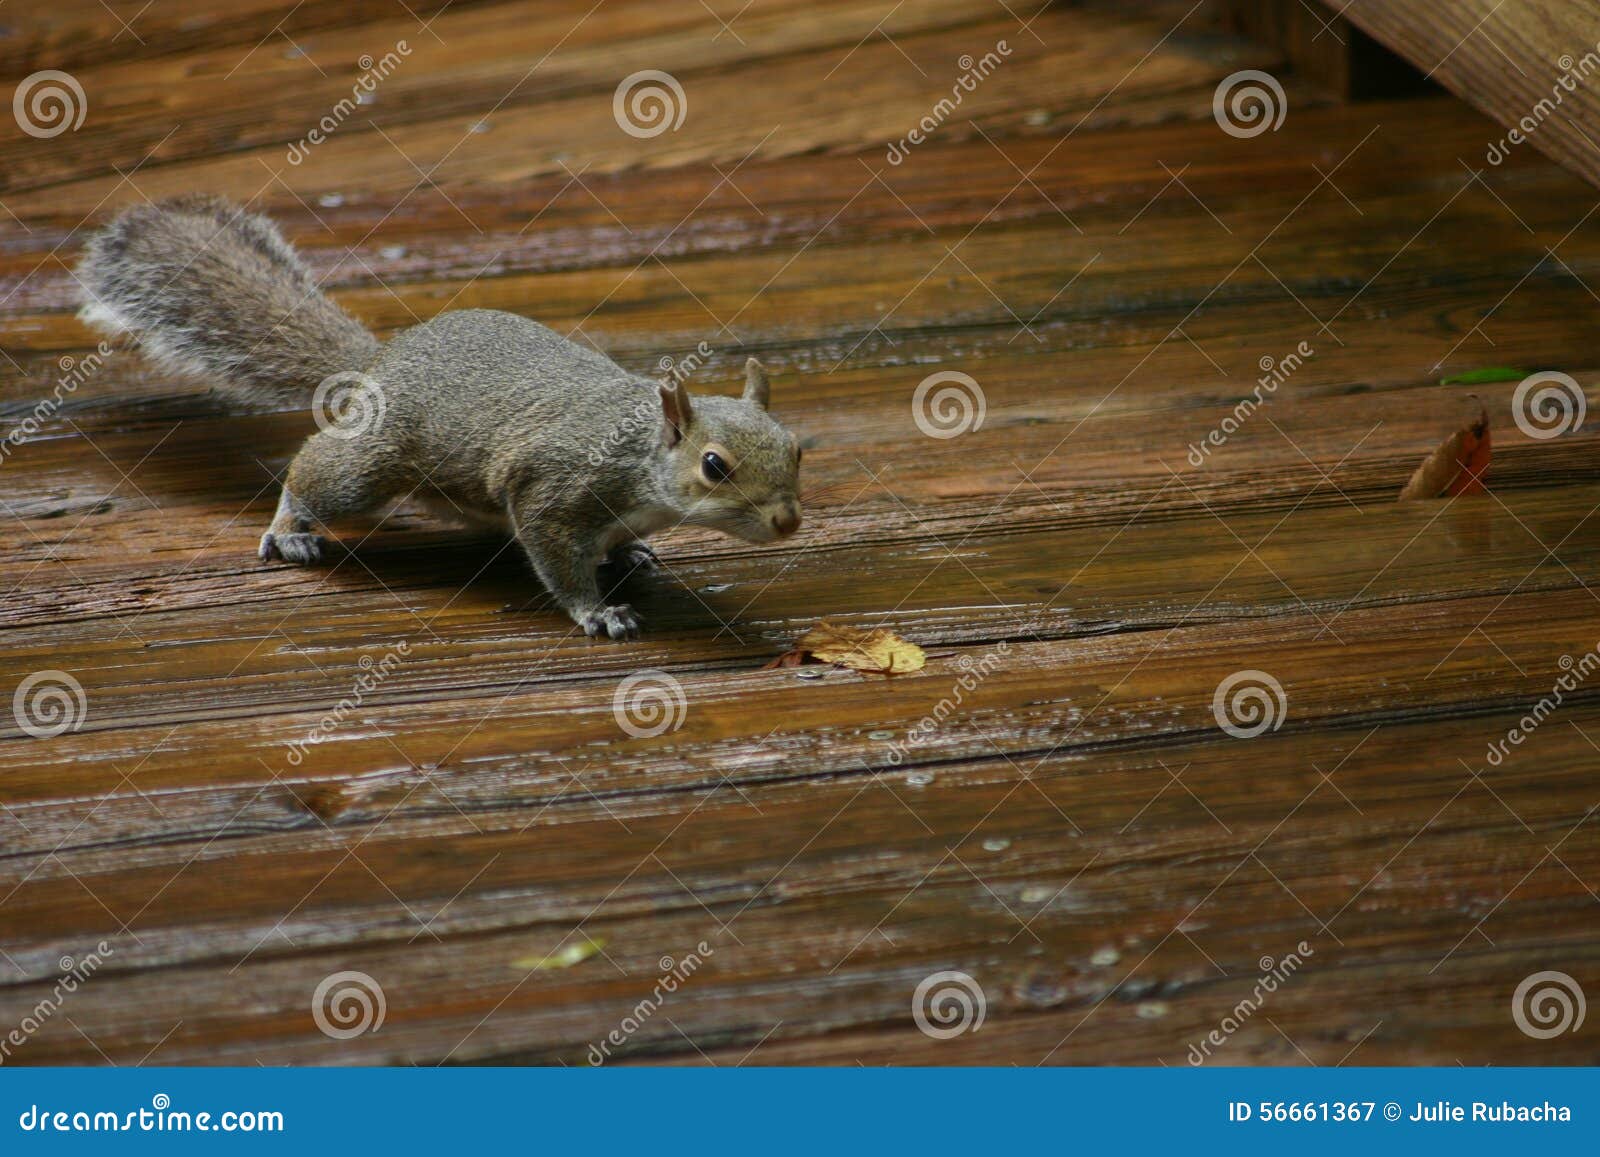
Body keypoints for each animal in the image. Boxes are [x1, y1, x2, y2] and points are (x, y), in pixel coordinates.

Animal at [75, 195, 803, 640]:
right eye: (714, 466)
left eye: (797, 448)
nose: (788, 521)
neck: (640, 457)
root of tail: (377, 365)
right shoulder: (555, 489)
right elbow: (558, 560)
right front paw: (597, 612)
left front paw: (630, 551)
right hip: (371, 463)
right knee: (315, 475)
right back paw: (290, 530)